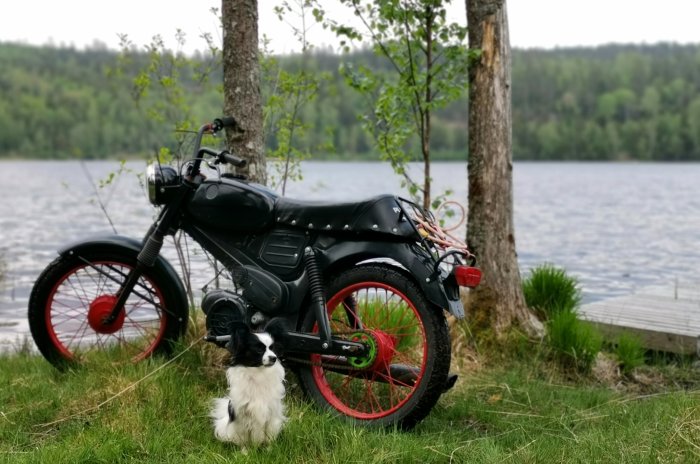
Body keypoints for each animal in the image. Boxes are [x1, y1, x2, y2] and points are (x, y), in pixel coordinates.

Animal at [209, 320, 286, 448]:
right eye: (259, 350)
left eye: (272, 348)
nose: (274, 358)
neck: (259, 372)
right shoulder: (243, 416)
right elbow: (244, 438)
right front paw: (246, 451)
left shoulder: (271, 415)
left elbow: (269, 436)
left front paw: (269, 449)